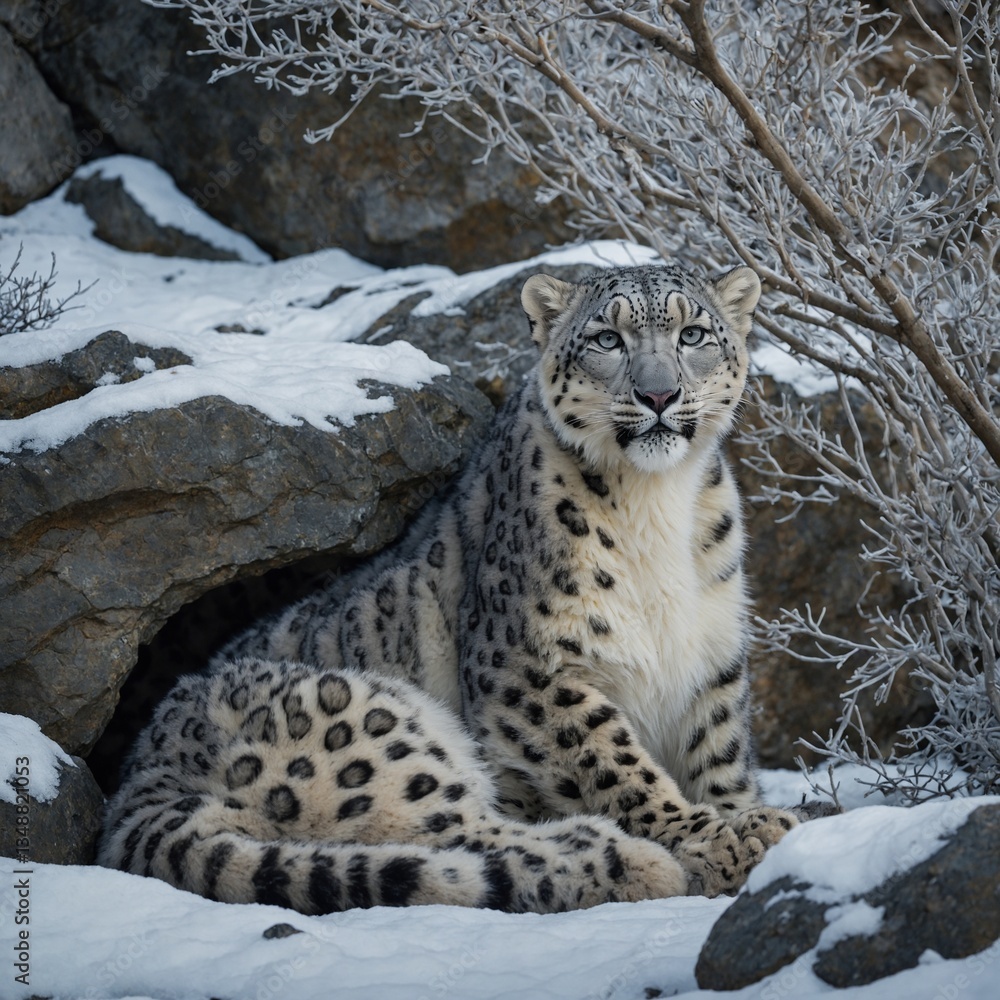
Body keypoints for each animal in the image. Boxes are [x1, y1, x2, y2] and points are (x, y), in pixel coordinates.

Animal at [99, 262, 800, 914]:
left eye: (693, 333)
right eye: (607, 338)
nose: (659, 394)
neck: (658, 505)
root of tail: (139, 780)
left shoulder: (710, 660)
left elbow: (718, 751)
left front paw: (738, 815)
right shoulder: (527, 665)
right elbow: (612, 759)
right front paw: (719, 835)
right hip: (364, 724)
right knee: (464, 833)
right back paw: (631, 859)